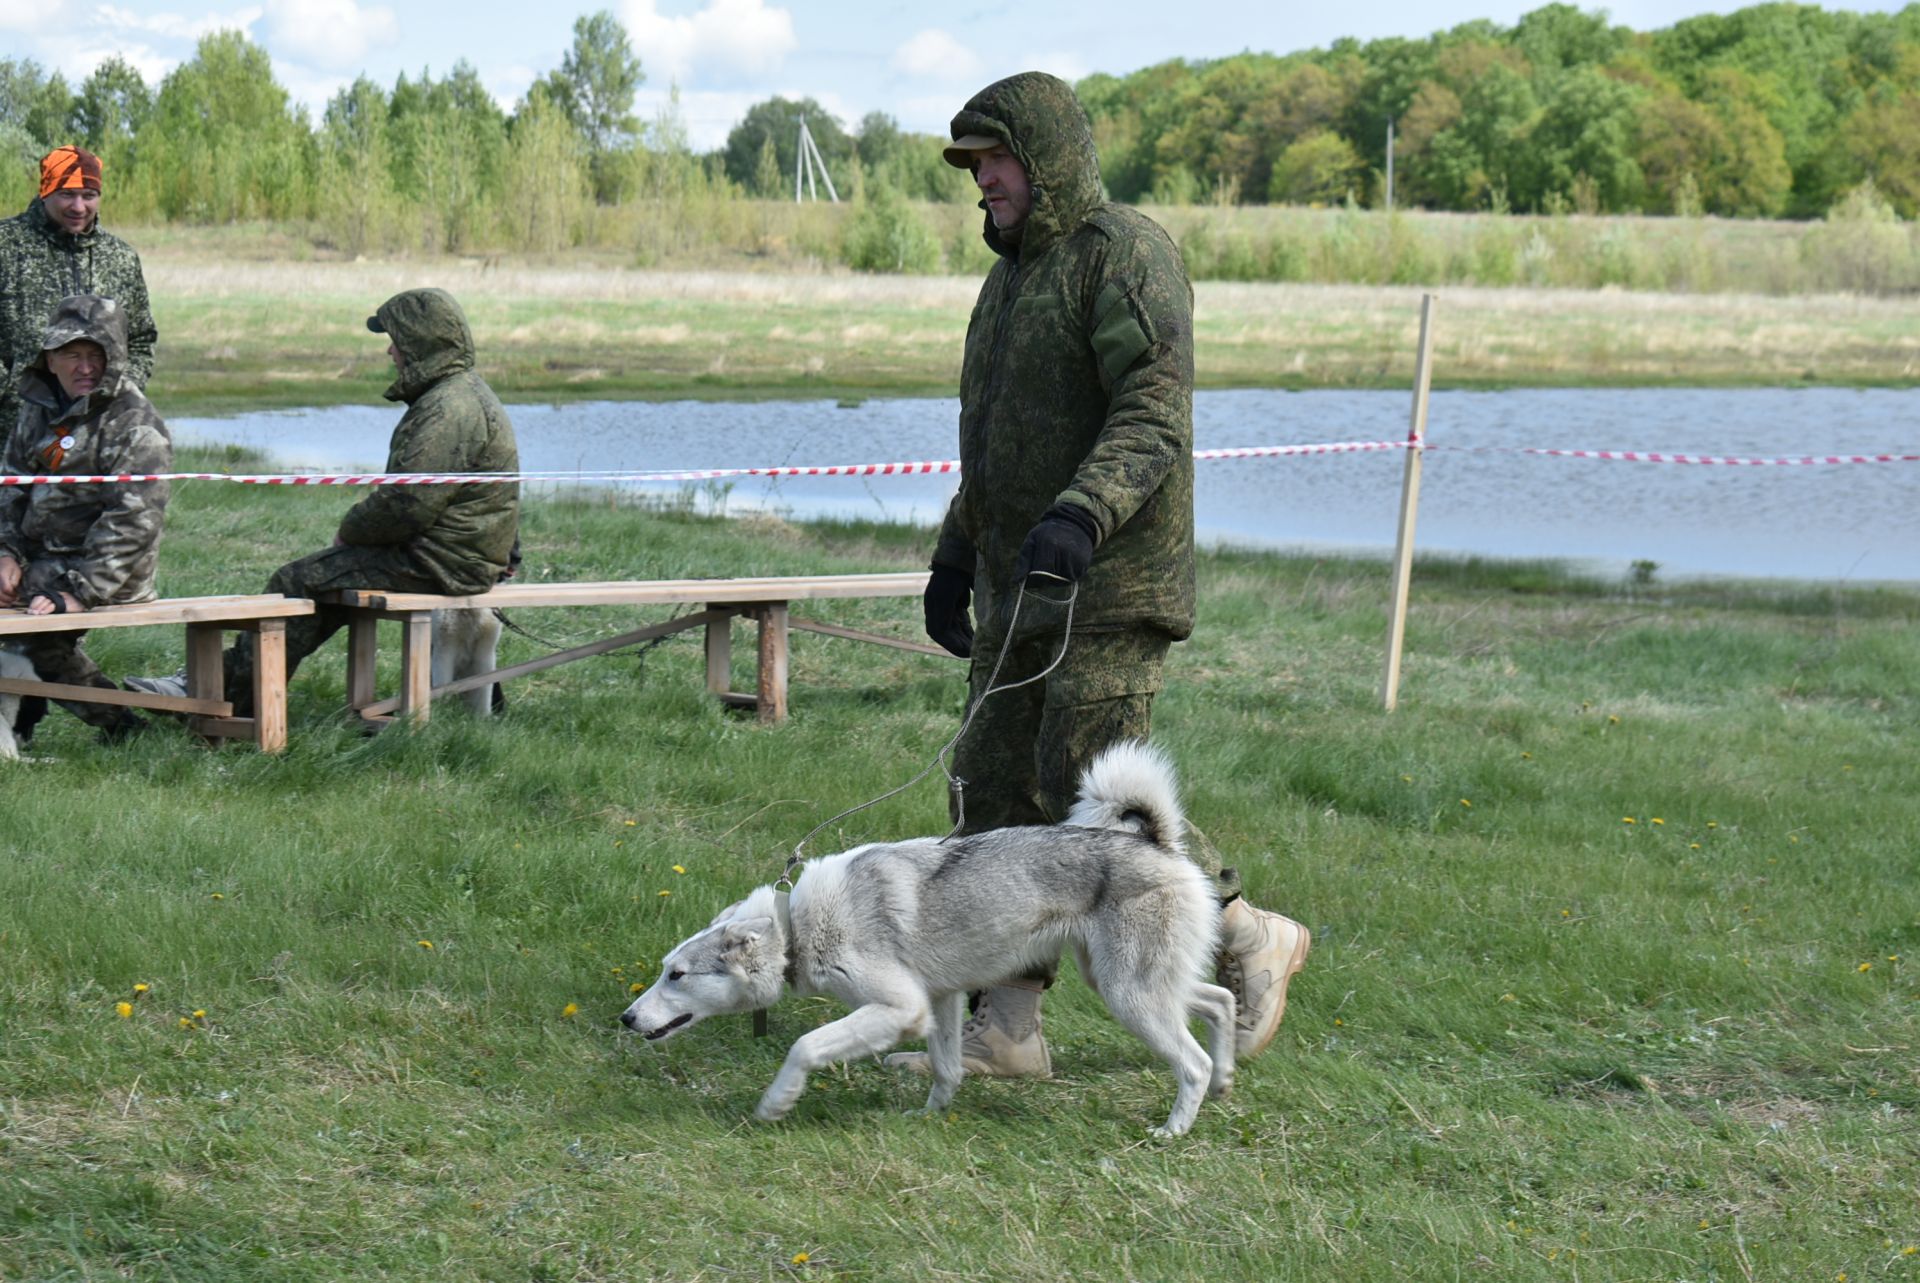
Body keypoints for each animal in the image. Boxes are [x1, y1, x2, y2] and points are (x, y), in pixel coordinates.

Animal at [622, 741, 1236, 1129]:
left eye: (677, 975)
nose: (626, 1018)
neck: (796, 926)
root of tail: (1158, 843)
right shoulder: (939, 1003)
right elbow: (946, 1069)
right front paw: (928, 1118)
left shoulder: (901, 1008)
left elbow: (805, 1046)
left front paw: (777, 1103)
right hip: (1128, 981)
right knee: (1220, 1000)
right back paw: (1227, 1077)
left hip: (1128, 993)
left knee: (1191, 1062)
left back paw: (1174, 1129)